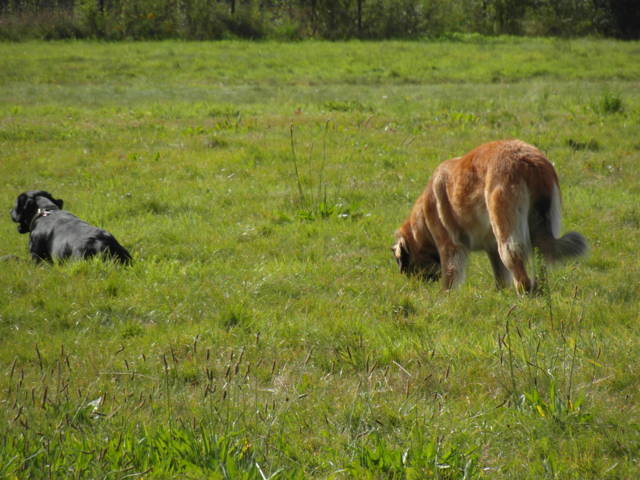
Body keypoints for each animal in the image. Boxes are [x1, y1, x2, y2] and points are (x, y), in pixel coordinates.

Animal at [390, 139, 584, 292]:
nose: (413, 284)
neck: (423, 221)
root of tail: (529, 161)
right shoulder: (491, 247)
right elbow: (500, 275)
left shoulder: (450, 245)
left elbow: (450, 275)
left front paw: (445, 296)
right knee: (542, 258)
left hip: (506, 233)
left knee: (517, 265)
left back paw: (524, 293)